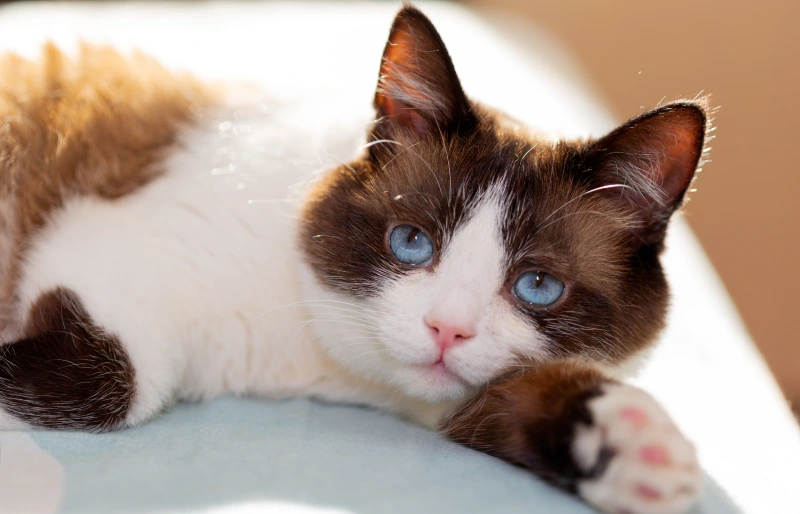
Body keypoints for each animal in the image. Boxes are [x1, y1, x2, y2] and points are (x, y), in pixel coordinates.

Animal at [0, 4, 712, 512]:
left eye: (537, 285)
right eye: (411, 242)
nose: (446, 331)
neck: (309, 357)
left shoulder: (443, 401)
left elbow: (513, 400)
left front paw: (629, 446)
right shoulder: (105, 243)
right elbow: (112, 385)